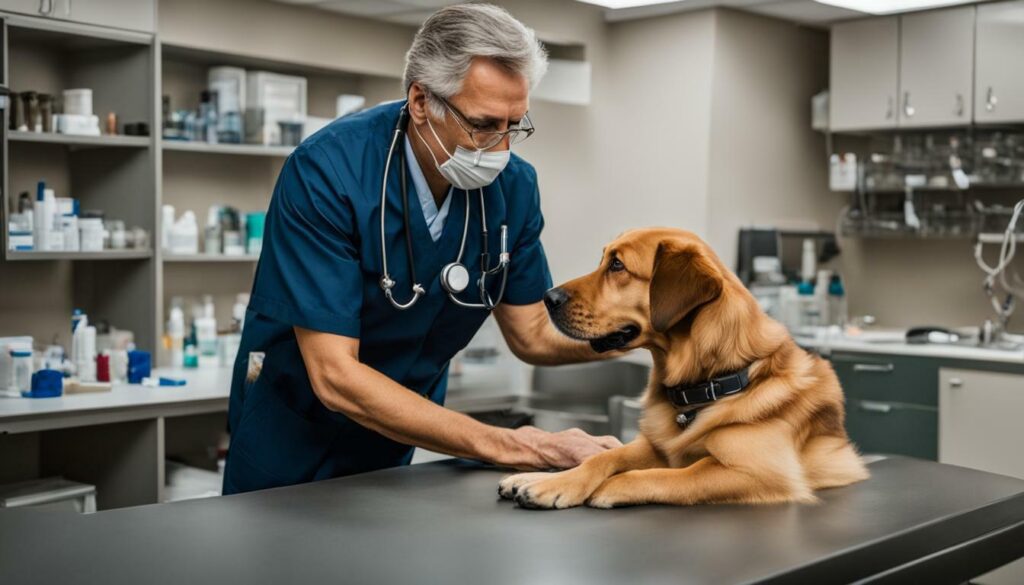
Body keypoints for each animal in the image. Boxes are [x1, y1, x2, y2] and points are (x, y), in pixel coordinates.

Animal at [499, 228, 868, 508]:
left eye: (617, 265)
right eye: (604, 261)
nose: (548, 297)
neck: (710, 383)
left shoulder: (759, 472)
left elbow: (676, 474)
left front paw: (609, 486)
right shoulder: (653, 446)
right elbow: (602, 457)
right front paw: (550, 481)